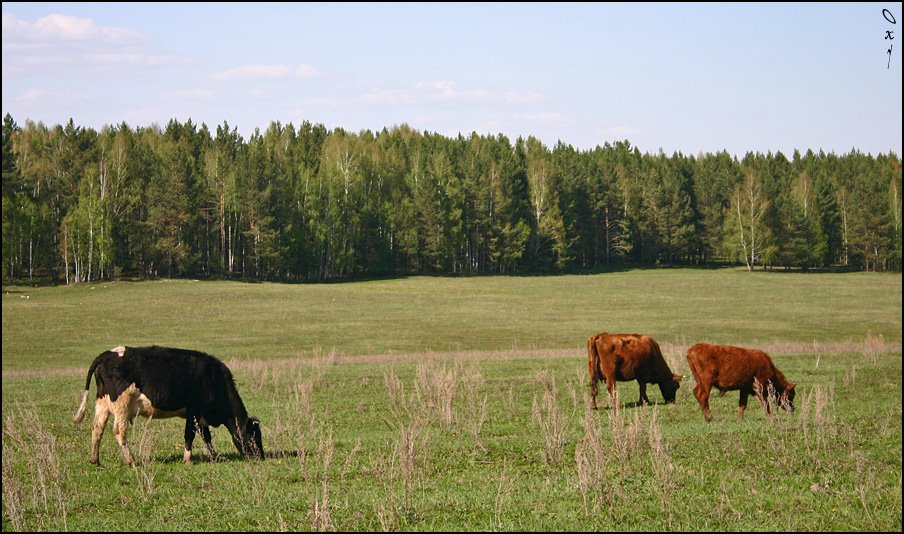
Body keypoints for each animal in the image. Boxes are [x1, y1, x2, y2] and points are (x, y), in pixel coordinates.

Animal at [72, 348, 264, 464]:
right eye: (254, 436)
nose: (260, 456)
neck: (215, 379)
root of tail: (109, 353)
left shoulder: (200, 415)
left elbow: (206, 436)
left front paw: (215, 456)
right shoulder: (194, 411)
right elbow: (190, 435)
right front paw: (188, 459)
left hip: (103, 404)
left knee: (97, 428)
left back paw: (95, 460)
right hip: (122, 405)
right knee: (119, 431)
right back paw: (131, 460)